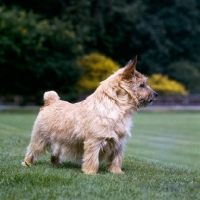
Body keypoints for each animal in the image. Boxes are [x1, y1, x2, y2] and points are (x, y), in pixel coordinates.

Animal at [21, 55, 157, 173]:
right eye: (142, 85)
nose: (156, 94)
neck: (116, 108)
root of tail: (50, 101)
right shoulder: (95, 140)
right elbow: (92, 158)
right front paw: (90, 172)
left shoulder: (119, 142)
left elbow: (116, 158)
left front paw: (116, 172)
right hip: (40, 138)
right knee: (31, 150)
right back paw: (26, 163)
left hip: (58, 140)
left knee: (55, 152)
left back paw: (57, 164)